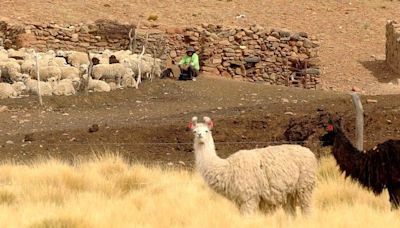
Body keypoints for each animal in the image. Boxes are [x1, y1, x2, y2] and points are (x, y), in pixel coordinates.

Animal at [189, 116, 318, 216]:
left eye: (207, 131)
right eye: (194, 131)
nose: (200, 135)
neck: (227, 168)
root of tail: (309, 152)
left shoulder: (249, 197)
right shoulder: (240, 201)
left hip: (304, 186)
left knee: (307, 209)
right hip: (289, 193)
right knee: (291, 213)